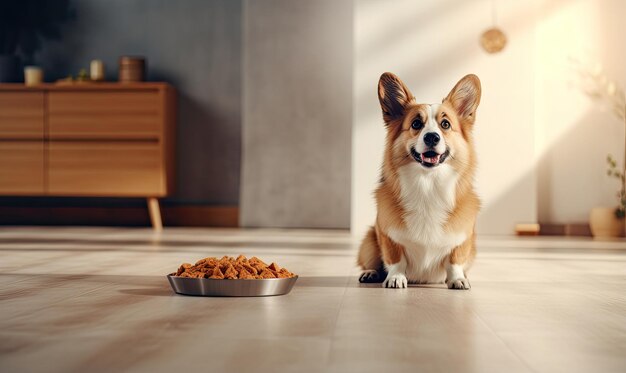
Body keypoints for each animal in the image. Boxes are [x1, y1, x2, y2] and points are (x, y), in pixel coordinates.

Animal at [354, 72, 480, 288]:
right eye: (416, 124)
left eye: (445, 124)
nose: (431, 137)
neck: (428, 184)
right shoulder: (387, 236)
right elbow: (395, 259)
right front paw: (396, 278)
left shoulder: (463, 240)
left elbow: (455, 260)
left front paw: (457, 279)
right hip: (369, 242)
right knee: (371, 261)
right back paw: (371, 273)